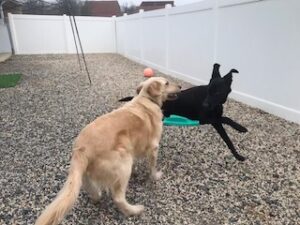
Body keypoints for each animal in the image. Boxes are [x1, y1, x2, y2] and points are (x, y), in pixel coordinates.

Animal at [35, 76, 180, 224]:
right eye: (167, 83)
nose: (180, 86)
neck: (146, 98)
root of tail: (81, 149)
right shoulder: (153, 147)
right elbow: (152, 167)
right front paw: (155, 176)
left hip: (86, 173)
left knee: (92, 190)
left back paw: (97, 197)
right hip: (123, 162)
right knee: (118, 198)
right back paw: (134, 210)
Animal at [119, 64, 248, 161]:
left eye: (217, 93)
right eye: (208, 91)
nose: (204, 105)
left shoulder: (216, 122)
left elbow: (227, 137)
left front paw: (237, 154)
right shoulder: (205, 119)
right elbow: (226, 121)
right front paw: (241, 129)